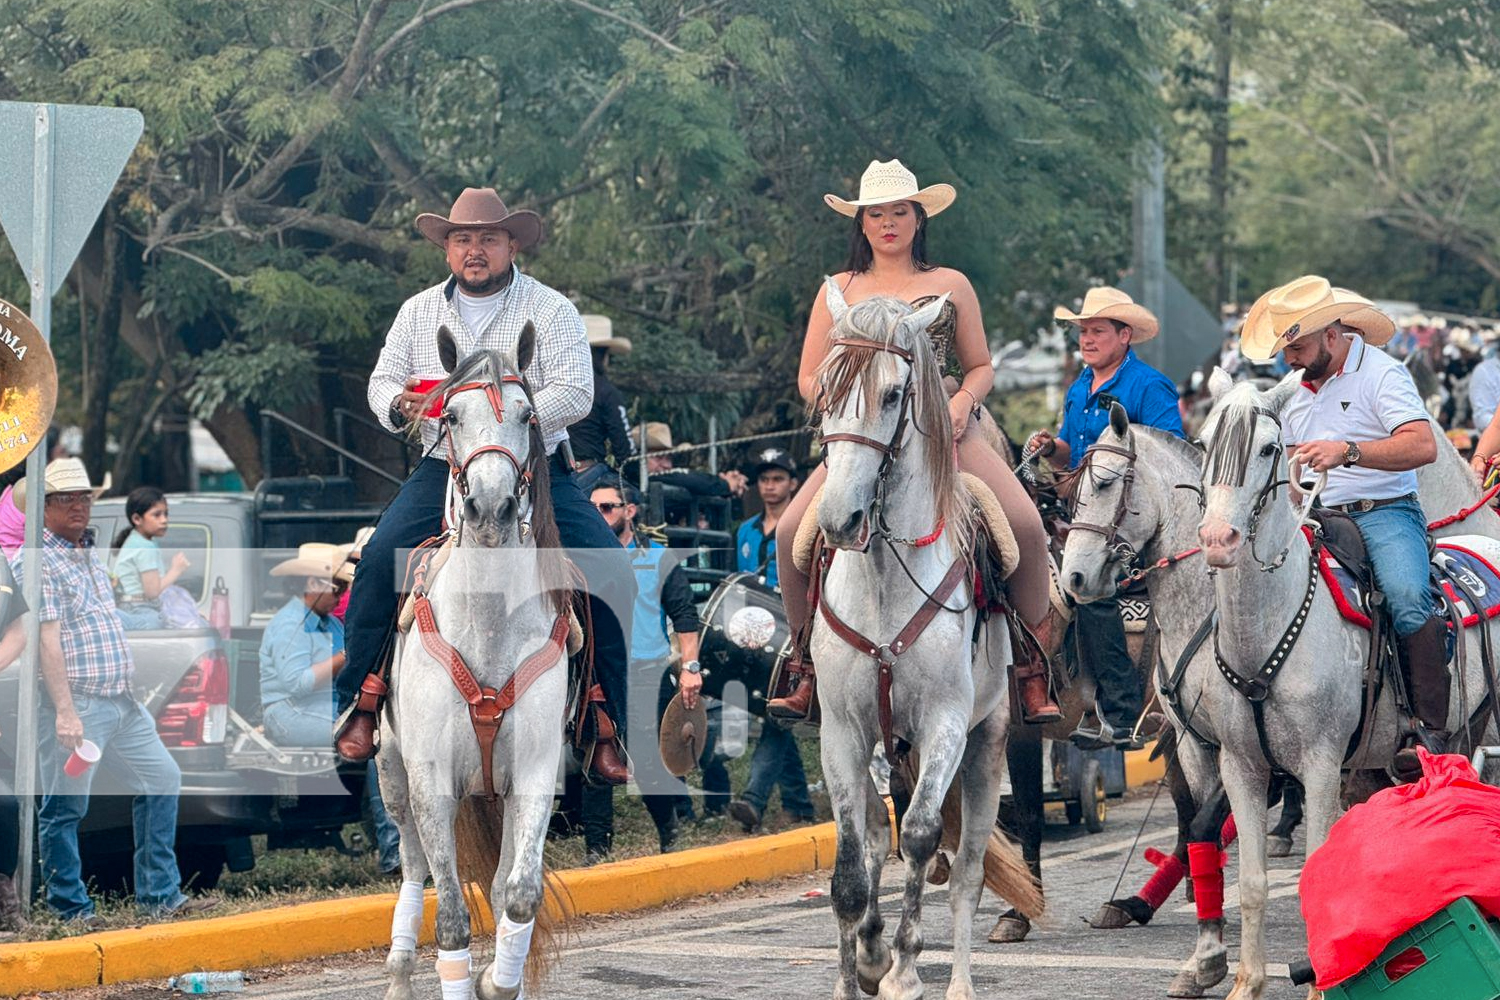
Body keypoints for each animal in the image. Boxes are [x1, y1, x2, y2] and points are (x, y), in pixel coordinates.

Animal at [373, 325, 564, 1000]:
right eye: (451, 416)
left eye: (528, 415)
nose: (490, 508)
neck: (488, 622)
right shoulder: (431, 778)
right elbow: (452, 918)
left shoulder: (534, 772)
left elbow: (520, 893)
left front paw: (498, 982)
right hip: (394, 778)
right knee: (414, 869)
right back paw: (399, 972)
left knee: (503, 877)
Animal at [810, 280, 1044, 1000]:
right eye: (825, 390)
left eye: (893, 394)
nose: (840, 518)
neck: (887, 582)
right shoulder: (842, 731)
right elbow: (852, 867)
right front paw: (859, 967)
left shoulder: (945, 723)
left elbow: (918, 837)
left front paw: (904, 966)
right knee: (876, 840)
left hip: (987, 745)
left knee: (965, 871)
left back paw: (957, 981)